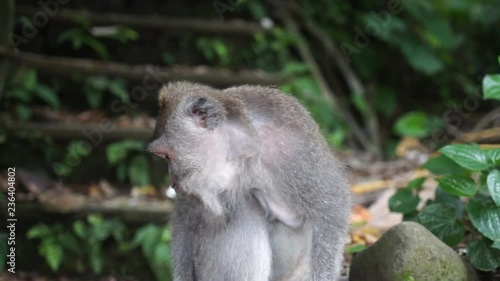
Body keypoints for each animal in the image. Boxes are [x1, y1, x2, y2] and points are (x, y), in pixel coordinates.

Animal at [148, 81, 352, 280]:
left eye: (167, 156)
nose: (173, 180)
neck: (240, 148)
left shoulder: (291, 153)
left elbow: (333, 207)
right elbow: (185, 217)